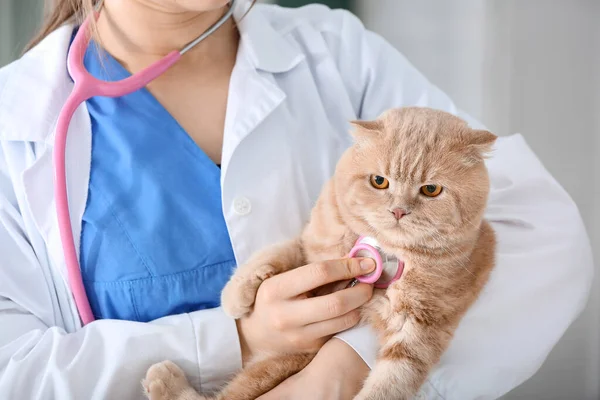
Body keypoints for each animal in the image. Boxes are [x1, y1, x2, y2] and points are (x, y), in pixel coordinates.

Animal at [142, 106, 496, 400]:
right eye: (379, 181)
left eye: (431, 190)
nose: (398, 211)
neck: (384, 248)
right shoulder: (313, 247)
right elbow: (276, 254)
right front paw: (235, 295)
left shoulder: (418, 332)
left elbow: (390, 383)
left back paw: (165, 381)